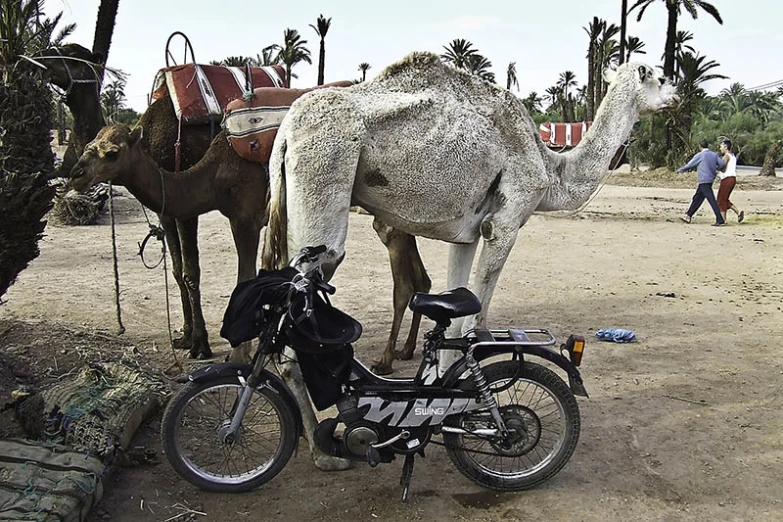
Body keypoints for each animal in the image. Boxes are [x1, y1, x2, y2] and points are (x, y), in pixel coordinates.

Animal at [264, 52, 680, 468]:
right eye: (659, 77)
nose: (678, 95)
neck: (551, 169)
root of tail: (284, 135)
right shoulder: (504, 224)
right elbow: (474, 323)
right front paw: (477, 408)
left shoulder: (466, 232)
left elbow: (453, 320)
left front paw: (441, 399)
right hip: (325, 180)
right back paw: (324, 452)